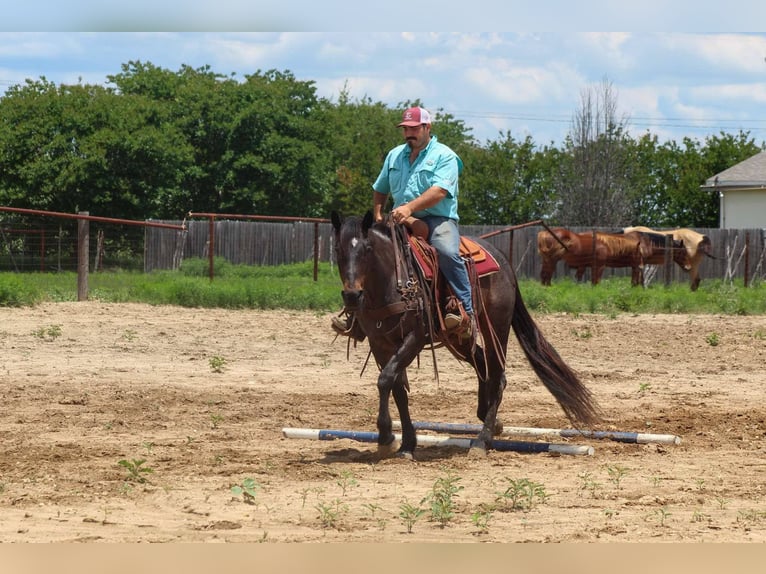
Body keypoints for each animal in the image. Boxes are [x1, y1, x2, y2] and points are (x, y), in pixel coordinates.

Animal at [332, 211, 599, 459]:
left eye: (367, 249)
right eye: (338, 250)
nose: (352, 296)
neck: (391, 284)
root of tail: (503, 260)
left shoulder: (415, 338)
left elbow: (385, 379)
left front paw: (386, 437)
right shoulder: (380, 343)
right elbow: (396, 388)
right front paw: (406, 443)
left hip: (496, 326)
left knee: (497, 375)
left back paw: (483, 439)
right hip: (458, 336)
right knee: (482, 365)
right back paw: (490, 420)